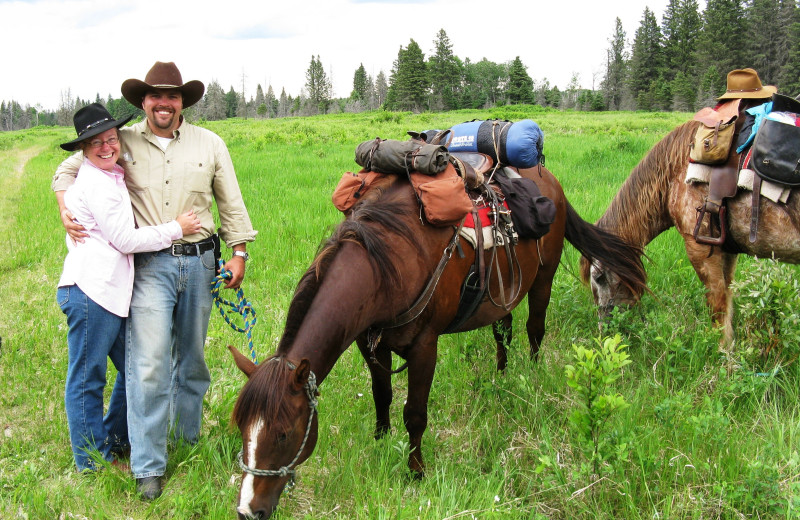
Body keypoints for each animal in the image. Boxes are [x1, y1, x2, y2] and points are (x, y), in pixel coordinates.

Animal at [230, 169, 644, 516]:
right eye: (242, 429)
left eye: (284, 434)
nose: (249, 510)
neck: (387, 263)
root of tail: (550, 181)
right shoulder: (371, 343)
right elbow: (382, 396)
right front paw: (381, 443)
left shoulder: (424, 347)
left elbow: (415, 413)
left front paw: (415, 472)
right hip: (502, 293)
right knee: (504, 330)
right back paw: (502, 376)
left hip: (543, 278)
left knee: (534, 330)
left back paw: (532, 376)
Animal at [580, 120, 800, 344]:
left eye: (598, 277)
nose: (604, 330)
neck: (676, 171)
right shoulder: (728, 251)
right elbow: (728, 301)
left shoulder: (700, 248)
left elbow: (718, 308)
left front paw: (720, 350)